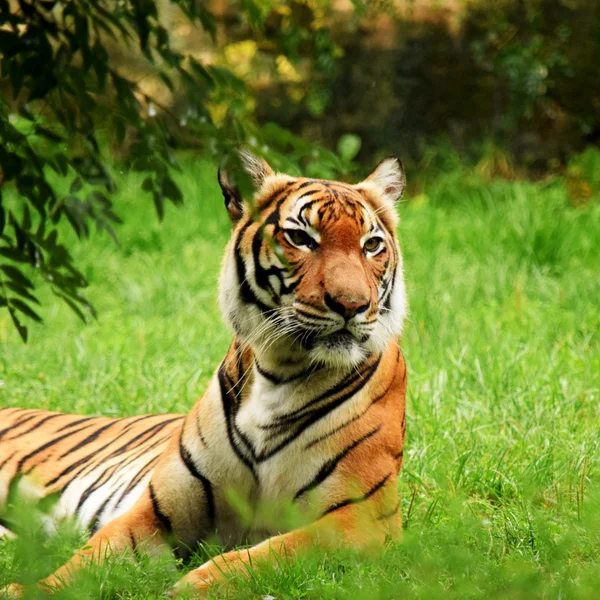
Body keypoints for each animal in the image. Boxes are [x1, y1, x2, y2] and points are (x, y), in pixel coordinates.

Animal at [0, 152, 408, 596]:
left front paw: (193, 587)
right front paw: (28, 590)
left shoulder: (363, 517)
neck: (280, 370)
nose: (352, 305)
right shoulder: (156, 511)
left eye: (371, 245)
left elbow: (271, 553)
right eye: (301, 238)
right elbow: (89, 558)